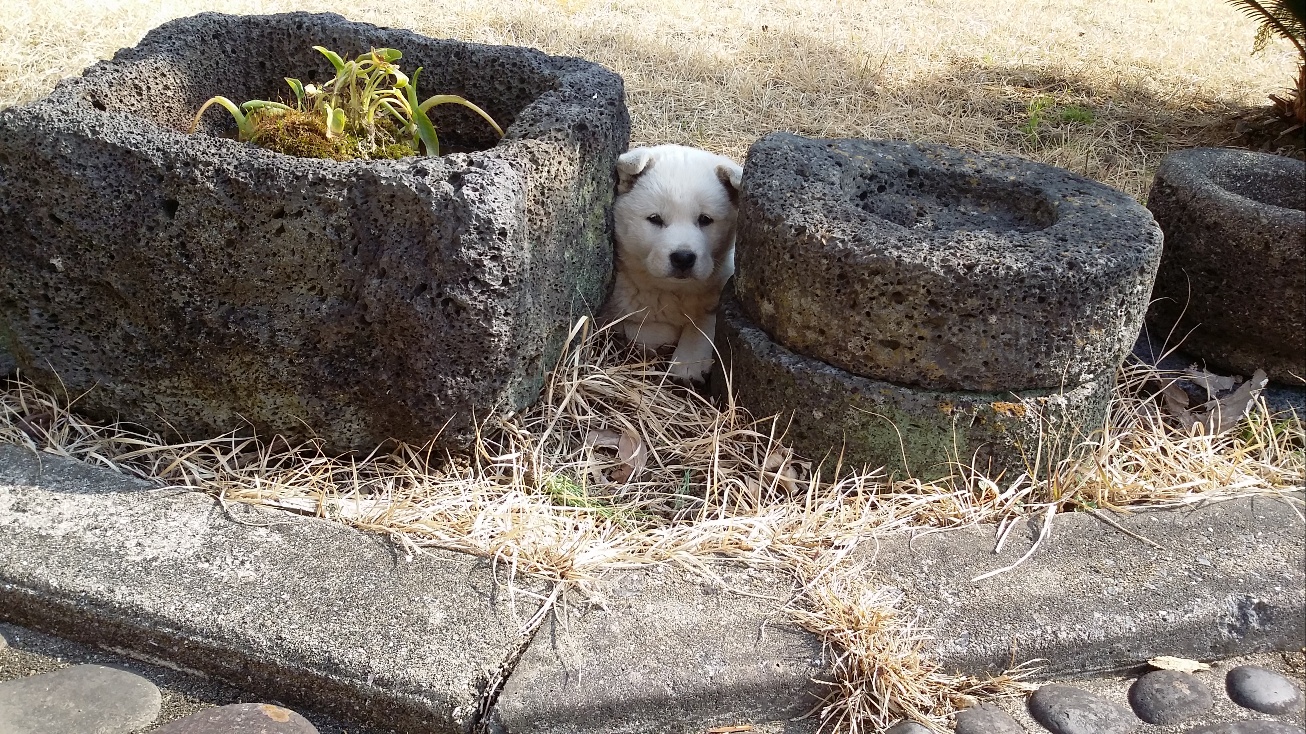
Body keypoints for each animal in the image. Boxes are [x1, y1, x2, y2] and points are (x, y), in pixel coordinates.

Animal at [603, 144, 747, 383]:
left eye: (705, 219)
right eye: (655, 219)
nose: (683, 258)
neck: (673, 291)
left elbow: (706, 319)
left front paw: (689, 360)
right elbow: (643, 331)